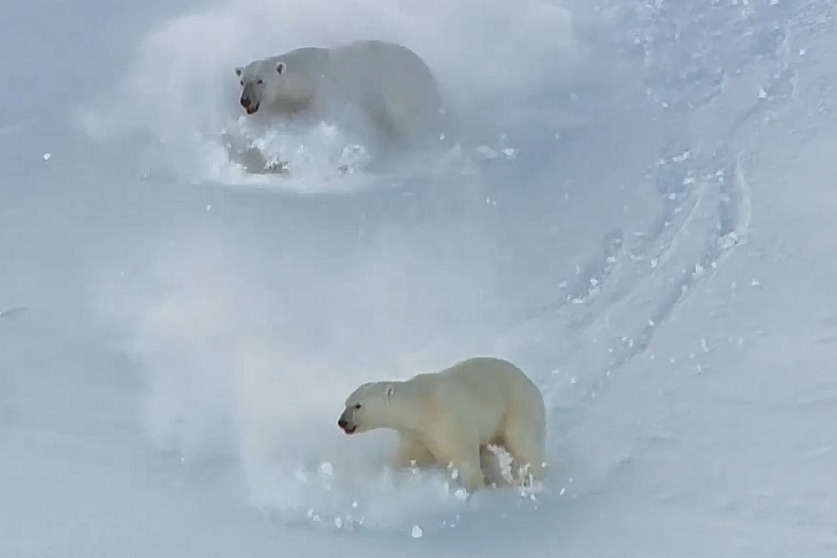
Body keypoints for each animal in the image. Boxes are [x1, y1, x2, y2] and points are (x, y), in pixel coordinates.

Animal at [232, 39, 454, 161]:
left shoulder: (328, 93)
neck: (307, 77)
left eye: (260, 81)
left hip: (409, 95)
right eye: (242, 81)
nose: (245, 101)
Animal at [336, 358, 544, 494]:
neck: (422, 405)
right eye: (345, 403)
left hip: (518, 408)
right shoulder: (418, 434)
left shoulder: (449, 421)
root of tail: (532, 384)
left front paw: (473, 490)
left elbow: (464, 457)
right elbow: (408, 457)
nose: (342, 422)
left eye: (358, 405)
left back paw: (530, 479)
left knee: (523, 444)